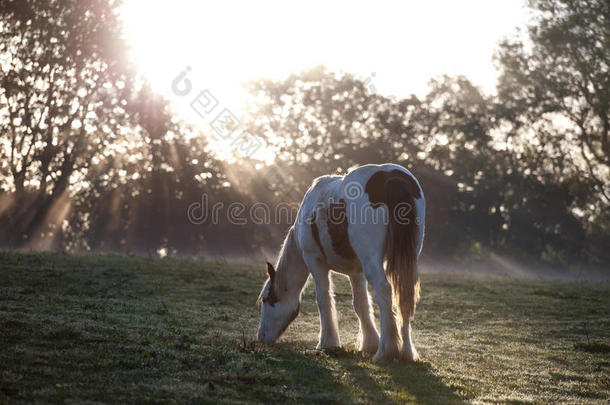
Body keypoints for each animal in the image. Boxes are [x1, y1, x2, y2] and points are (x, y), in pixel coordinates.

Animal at [255, 163, 422, 362]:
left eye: (268, 299)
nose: (261, 337)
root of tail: (390, 176)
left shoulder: (314, 261)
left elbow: (324, 299)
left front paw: (328, 343)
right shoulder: (356, 272)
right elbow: (361, 304)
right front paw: (369, 344)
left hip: (372, 261)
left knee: (385, 291)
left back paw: (385, 351)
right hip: (407, 259)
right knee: (404, 296)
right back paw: (406, 352)